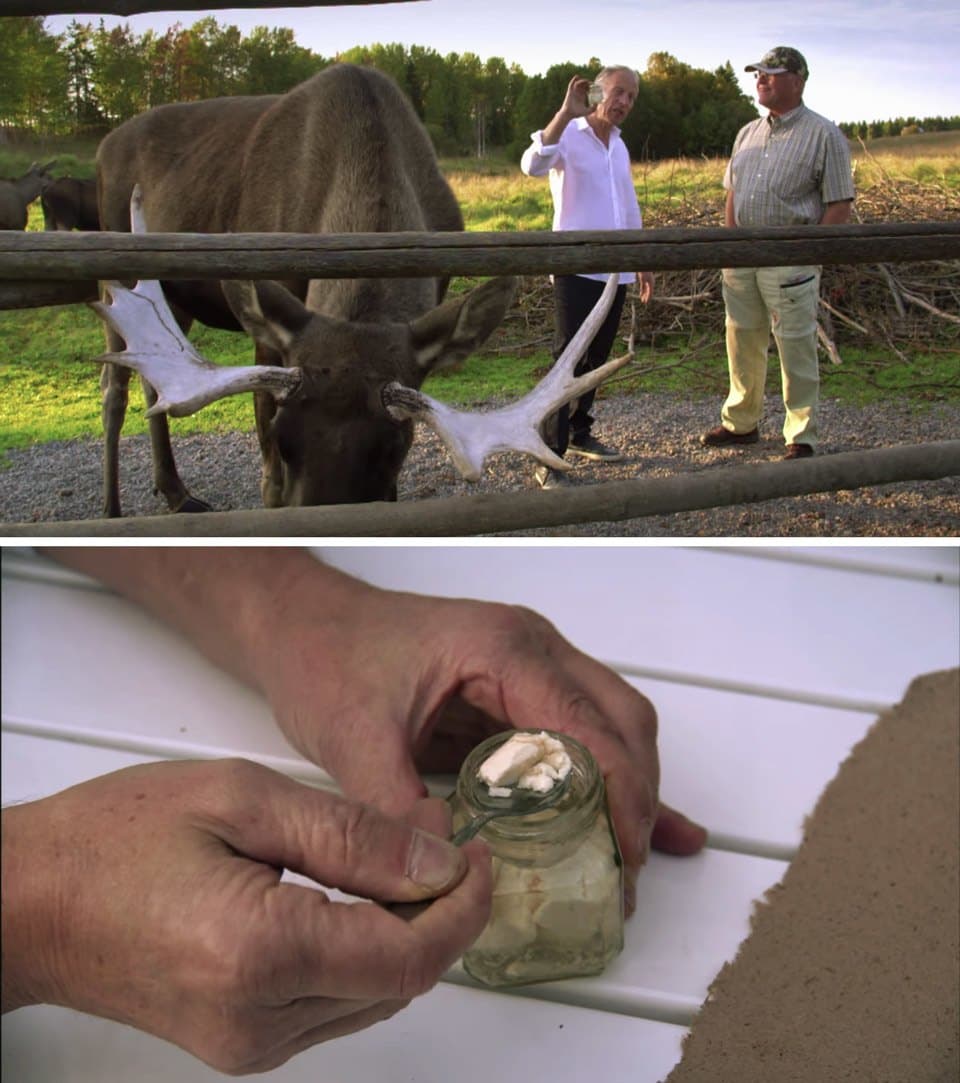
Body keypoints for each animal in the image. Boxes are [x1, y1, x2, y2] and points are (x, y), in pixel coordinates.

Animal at [94, 65, 631, 516]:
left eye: (395, 444)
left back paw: (176, 492)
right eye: (284, 437)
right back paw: (113, 508)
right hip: (116, 269)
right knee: (114, 386)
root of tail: (102, 146)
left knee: (151, 380)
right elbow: (269, 482)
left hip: (173, 298)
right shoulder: (271, 341)